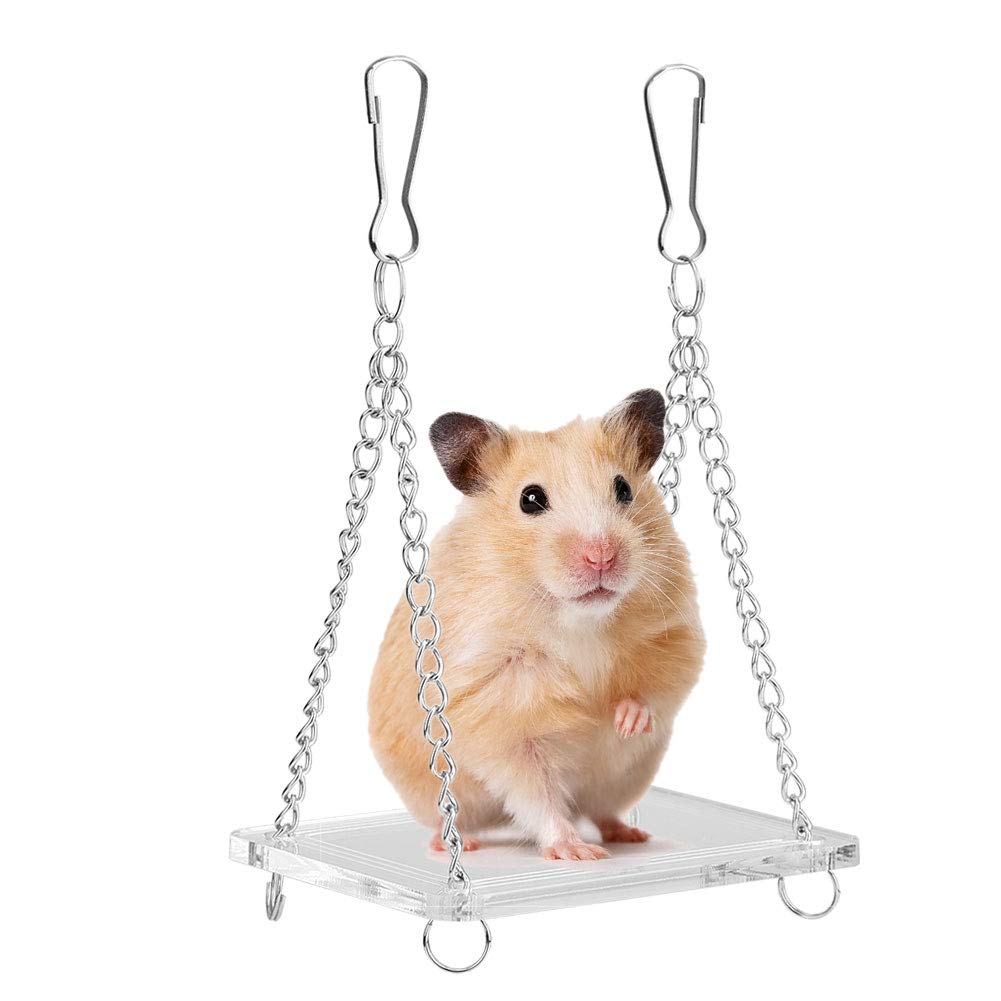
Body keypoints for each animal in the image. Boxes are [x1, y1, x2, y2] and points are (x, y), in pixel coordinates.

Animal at [368, 389, 704, 860]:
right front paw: (576, 853)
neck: (577, 618)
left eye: (623, 488)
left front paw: (623, 720)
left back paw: (630, 834)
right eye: (530, 499)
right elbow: (535, 789)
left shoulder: (675, 630)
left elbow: (659, 684)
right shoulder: (498, 706)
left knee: (602, 810)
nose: (601, 556)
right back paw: (459, 843)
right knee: (452, 819)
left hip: (624, 780)